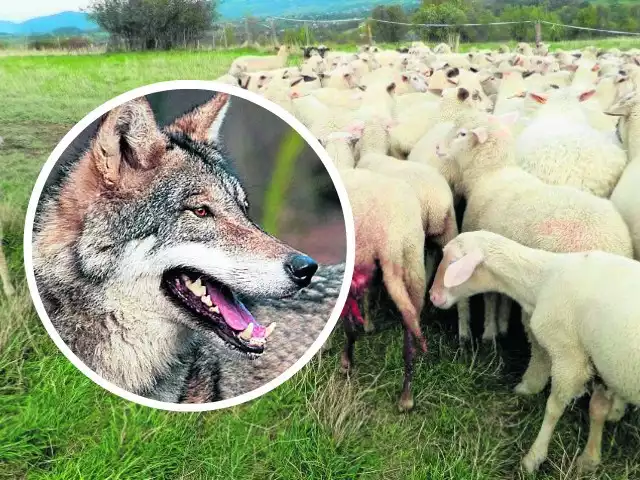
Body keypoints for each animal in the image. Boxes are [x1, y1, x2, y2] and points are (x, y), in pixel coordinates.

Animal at [430, 231, 640, 474]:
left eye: (453, 263)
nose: (432, 296)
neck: (541, 280)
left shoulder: (569, 358)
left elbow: (553, 409)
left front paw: (533, 458)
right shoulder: (600, 361)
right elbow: (597, 409)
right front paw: (589, 459)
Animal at [438, 113, 632, 346]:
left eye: (462, 134)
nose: (437, 147)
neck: (490, 174)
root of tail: (613, 245)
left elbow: (491, 298)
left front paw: (489, 332)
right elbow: (506, 297)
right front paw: (502, 326)